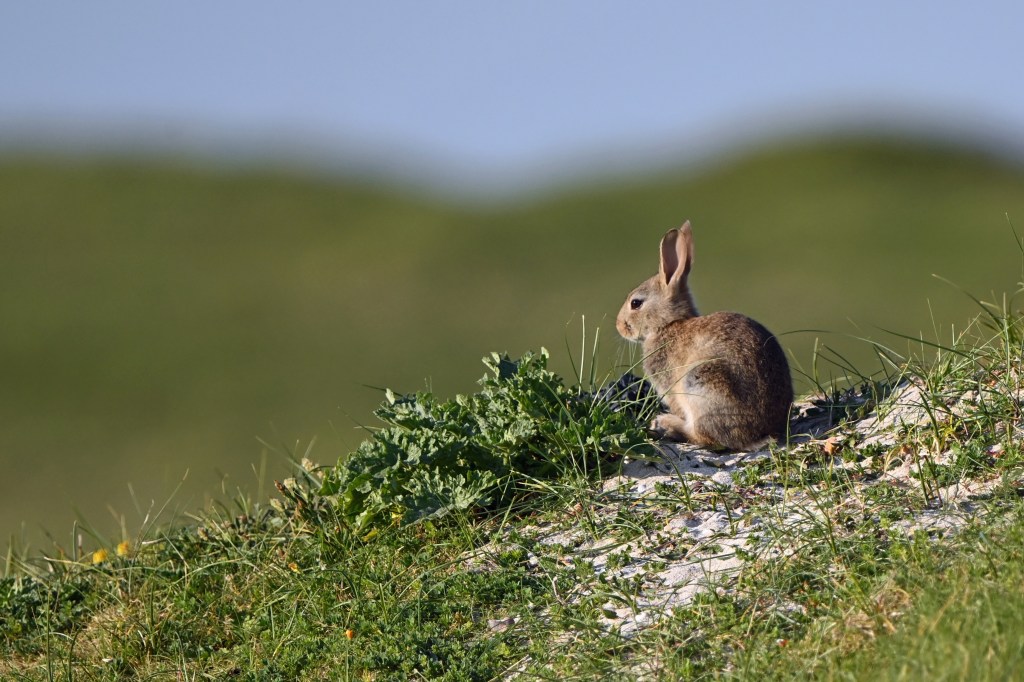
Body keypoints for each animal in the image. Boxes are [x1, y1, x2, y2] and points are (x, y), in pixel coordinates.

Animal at [616, 221, 793, 451]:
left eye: (636, 303)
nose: (619, 326)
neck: (668, 324)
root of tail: (759, 434)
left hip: (700, 383)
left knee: (704, 437)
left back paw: (665, 425)